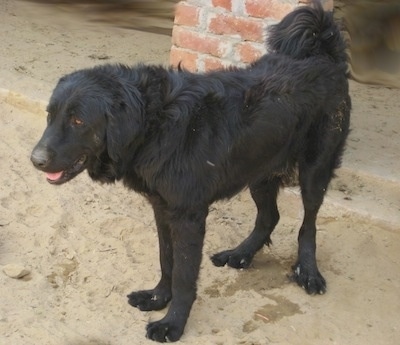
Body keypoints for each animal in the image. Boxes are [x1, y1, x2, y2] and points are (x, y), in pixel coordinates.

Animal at [30, 2, 350, 342]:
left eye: (78, 121)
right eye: (50, 115)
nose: (35, 160)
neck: (155, 125)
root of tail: (323, 53)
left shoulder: (188, 217)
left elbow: (184, 276)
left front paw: (173, 323)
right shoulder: (162, 208)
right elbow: (166, 260)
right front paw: (158, 297)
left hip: (314, 171)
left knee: (308, 225)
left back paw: (309, 271)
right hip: (258, 169)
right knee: (269, 216)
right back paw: (241, 254)